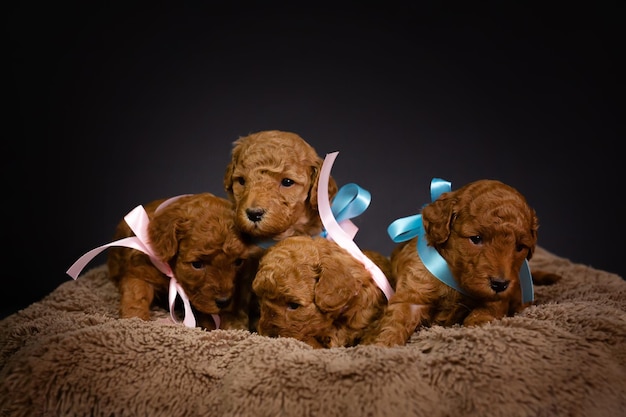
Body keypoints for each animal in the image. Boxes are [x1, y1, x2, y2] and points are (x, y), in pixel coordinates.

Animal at [106, 193, 260, 330]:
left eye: (238, 262)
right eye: (197, 264)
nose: (224, 301)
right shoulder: (139, 271)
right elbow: (136, 295)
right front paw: (134, 319)